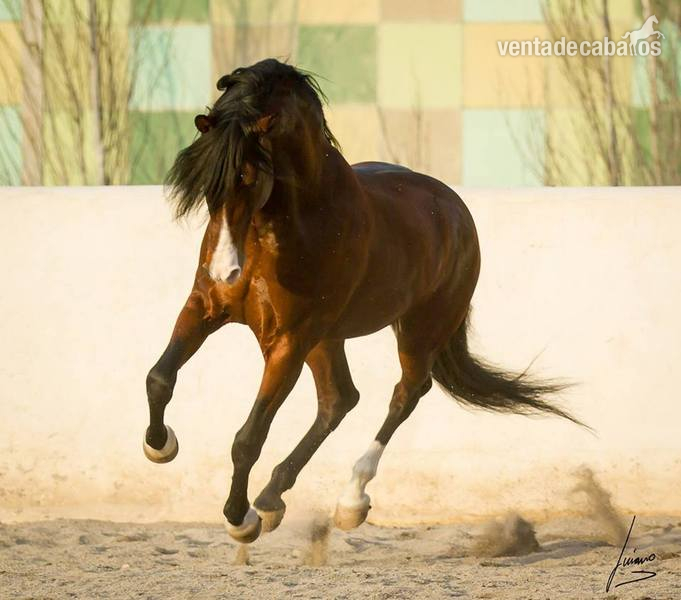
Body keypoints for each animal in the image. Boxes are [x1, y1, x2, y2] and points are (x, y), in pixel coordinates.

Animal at [143, 58, 582, 544]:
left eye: (247, 177)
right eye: (206, 180)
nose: (226, 271)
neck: (293, 221)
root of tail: (455, 210)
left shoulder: (287, 343)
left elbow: (249, 437)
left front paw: (241, 520)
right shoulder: (205, 308)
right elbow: (159, 378)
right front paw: (160, 446)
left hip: (415, 332)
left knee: (405, 394)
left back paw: (349, 500)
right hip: (328, 339)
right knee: (340, 399)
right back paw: (273, 498)